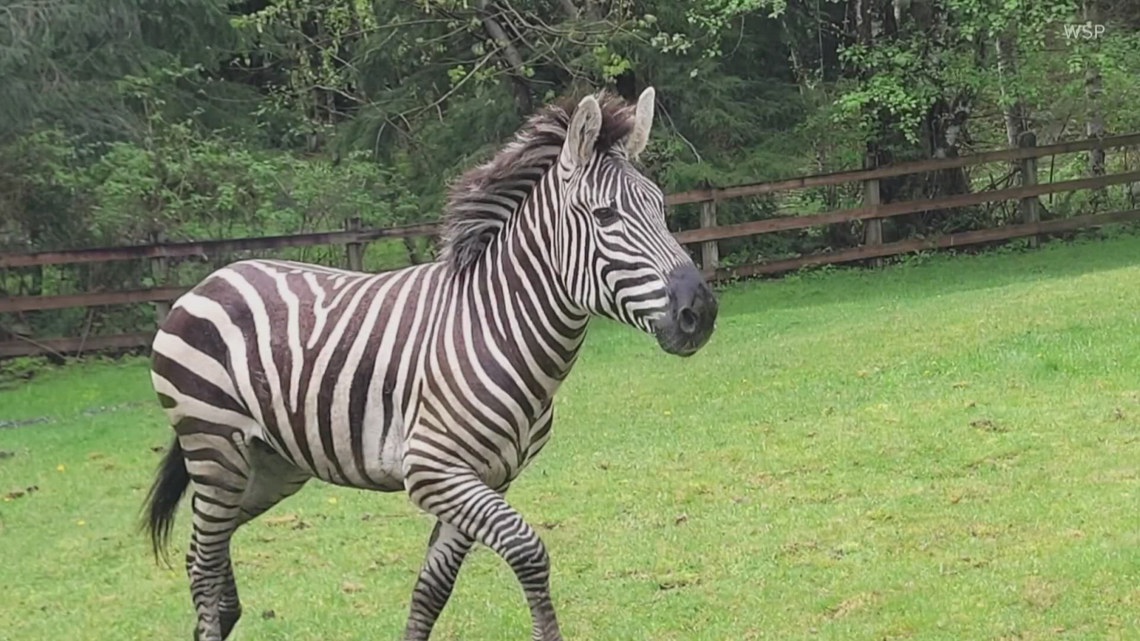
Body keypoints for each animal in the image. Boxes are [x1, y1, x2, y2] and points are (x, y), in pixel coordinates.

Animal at [140, 86, 711, 638]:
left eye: (661, 207)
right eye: (605, 215)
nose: (700, 312)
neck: (498, 328)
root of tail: (209, 280)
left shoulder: (488, 477)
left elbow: (433, 588)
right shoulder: (433, 469)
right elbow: (527, 548)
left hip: (269, 465)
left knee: (205, 550)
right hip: (214, 446)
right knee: (203, 562)